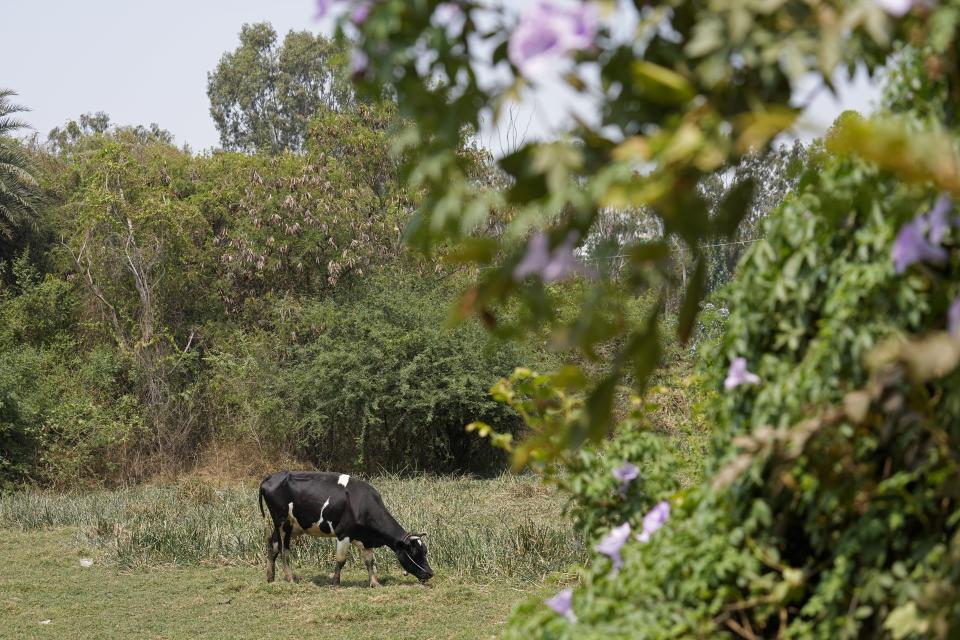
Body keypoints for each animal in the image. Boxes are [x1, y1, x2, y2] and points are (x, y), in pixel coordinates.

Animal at [256, 468, 434, 588]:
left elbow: (369, 562)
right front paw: (335, 582)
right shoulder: (344, 534)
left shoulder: (365, 540)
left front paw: (374, 583)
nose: (430, 573)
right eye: (414, 553)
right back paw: (290, 579)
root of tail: (270, 477)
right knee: (284, 550)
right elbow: (341, 560)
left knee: (272, 544)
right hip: (282, 523)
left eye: (425, 551)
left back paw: (270, 578)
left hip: (293, 526)